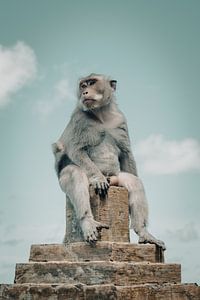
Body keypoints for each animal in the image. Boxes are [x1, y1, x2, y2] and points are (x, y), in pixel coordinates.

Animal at [51, 73, 166, 251]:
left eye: (92, 83)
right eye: (83, 85)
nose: (85, 92)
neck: (101, 114)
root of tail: (109, 177)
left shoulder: (121, 119)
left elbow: (126, 153)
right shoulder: (79, 118)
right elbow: (76, 150)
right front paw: (98, 179)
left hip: (115, 178)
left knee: (134, 182)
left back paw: (143, 231)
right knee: (74, 173)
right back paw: (87, 221)